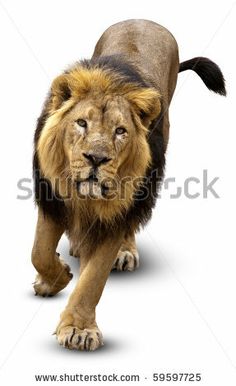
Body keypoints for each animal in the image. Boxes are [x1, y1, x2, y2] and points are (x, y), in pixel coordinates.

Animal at [30, 19, 225, 352]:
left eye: (120, 131)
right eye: (81, 123)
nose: (96, 158)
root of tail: (144, 20)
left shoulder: (116, 214)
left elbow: (93, 279)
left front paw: (79, 328)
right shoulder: (52, 198)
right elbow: (40, 252)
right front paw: (55, 278)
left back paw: (124, 252)